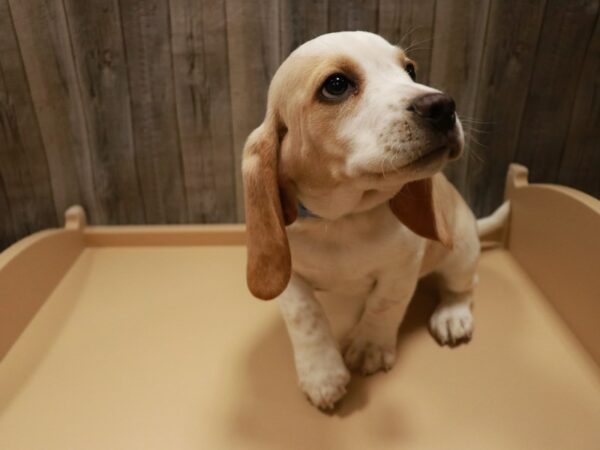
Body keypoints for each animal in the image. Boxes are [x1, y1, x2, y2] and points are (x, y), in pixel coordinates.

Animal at [241, 30, 480, 412]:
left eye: (410, 70)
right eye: (336, 85)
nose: (443, 106)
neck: (343, 219)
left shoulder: (401, 269)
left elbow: (384, 304)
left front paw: (370, 346)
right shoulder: (289, 276)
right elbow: (305, 317)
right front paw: (321, 374)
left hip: (462, 251)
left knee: (464, 286)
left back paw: (452, 315)